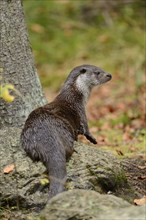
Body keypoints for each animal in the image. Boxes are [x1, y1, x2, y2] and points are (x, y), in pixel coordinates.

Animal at [20, 64, 112, 199]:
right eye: (97, 72)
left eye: (102, 69)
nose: (109, 75)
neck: (75, 95)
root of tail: (46, 136)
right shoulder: (81, 112)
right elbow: (86, 129)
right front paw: (93, 139)